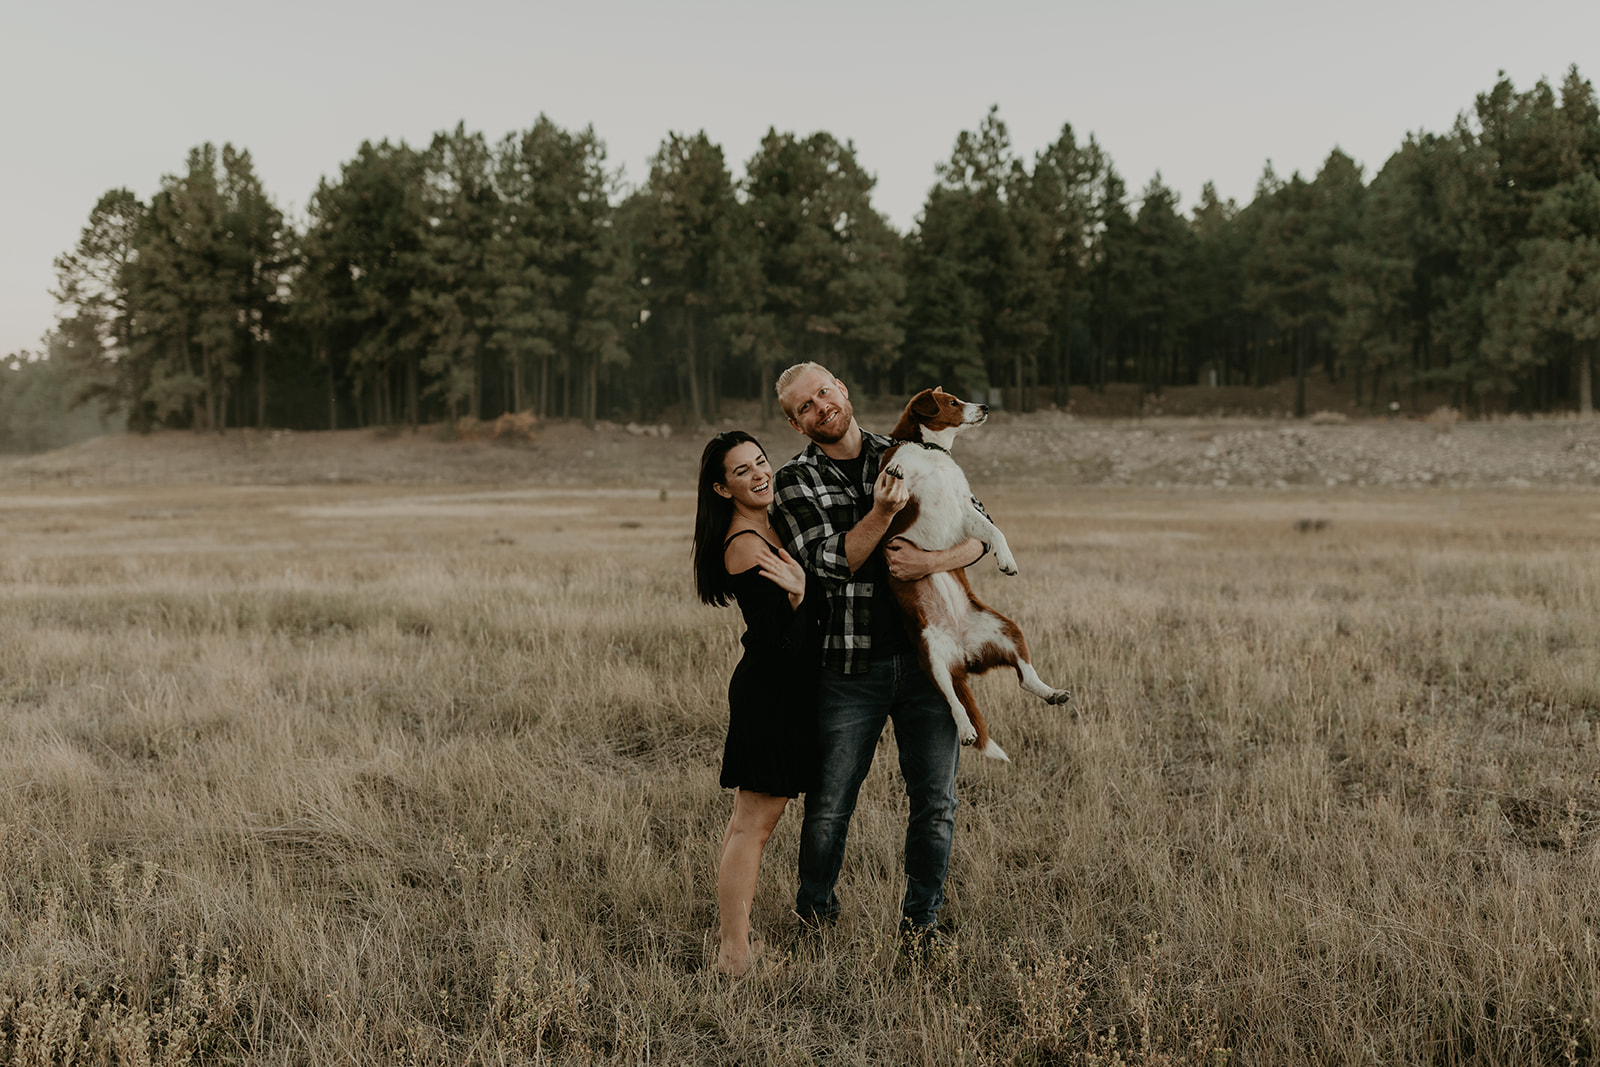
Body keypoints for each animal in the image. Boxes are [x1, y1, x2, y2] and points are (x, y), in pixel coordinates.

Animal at [876, 388, 1075, 764]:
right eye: (953, 402)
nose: (984, 406)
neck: (930, 450)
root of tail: (964, 656)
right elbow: (897, 473)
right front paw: (897, 468)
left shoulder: (965, 507)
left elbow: (994, 531)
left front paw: (1006, 560)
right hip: (931, 655)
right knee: (953, 701)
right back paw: (967, 729)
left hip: (1007, 629)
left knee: (1025, 677)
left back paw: (1052, 692)